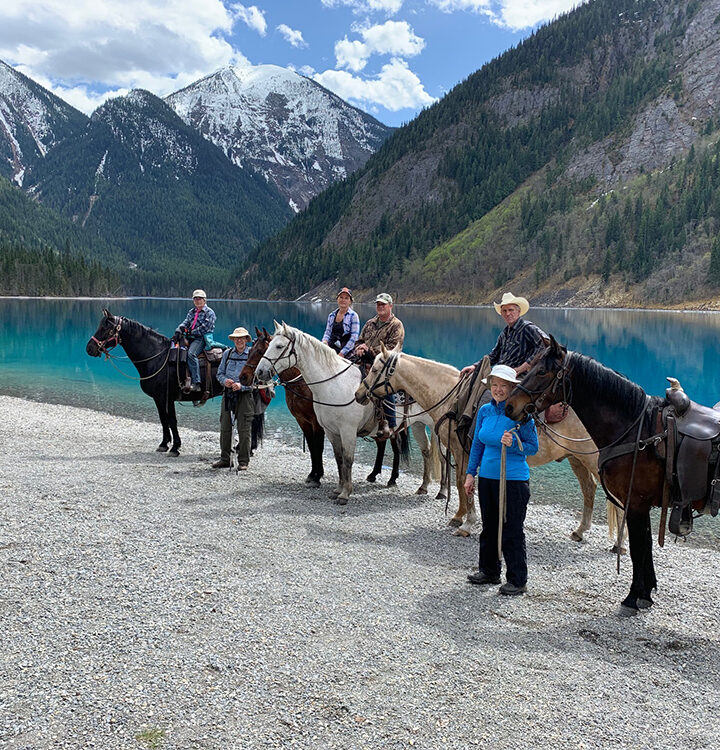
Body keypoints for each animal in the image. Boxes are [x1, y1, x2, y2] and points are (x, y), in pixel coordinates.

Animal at [84, 306, 221, 458]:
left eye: (105, 328)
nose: (89, 348)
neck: (157, 357)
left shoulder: (167, 397)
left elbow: (172, 420)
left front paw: (175, 447)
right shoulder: (158, 398)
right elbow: (163, 419)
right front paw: (164, 444)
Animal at [356, 346, 624, 548]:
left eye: (376, 369)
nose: (359, 394)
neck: (451, 397)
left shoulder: (462, 450)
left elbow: (463, 483)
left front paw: (467, 522)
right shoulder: (461, 452)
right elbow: (461, 484)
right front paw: (459, 516)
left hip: (592, 460)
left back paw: (618, 544)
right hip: (575, 458)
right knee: (589, 489)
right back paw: (580, 531)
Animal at [506, 340, 720, 616]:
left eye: (542, 371)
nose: (509, 406)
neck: (637, 431)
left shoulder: (636, 504)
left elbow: (639, 550)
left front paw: (633, 597)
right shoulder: (639, 505)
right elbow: (645, 547)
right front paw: (646, 593)